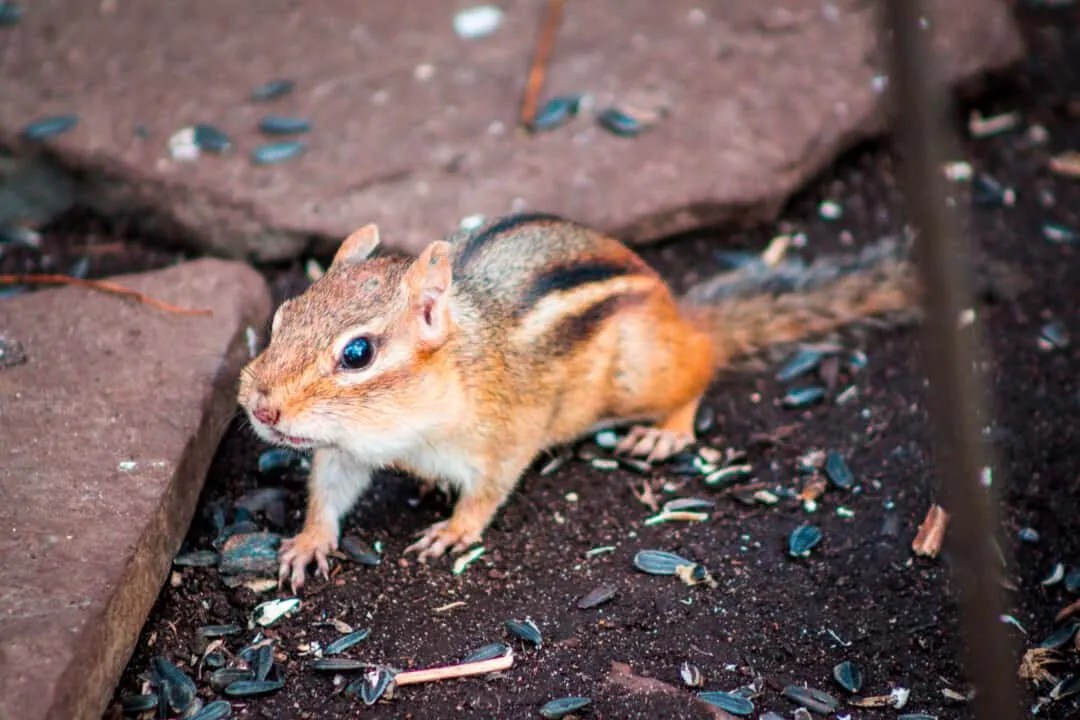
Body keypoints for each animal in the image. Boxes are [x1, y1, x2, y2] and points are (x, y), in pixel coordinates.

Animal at [237, 213, 919, 590]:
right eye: (282, 316)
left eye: (357, 354)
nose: (260, 408)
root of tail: (679, 314)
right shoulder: (346, 450)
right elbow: (329, 490)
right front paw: (308, 542)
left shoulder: (506, 436)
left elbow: (488, 492)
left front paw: (454, 530)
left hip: (644, 372)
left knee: (699, 367)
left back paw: (668, 428)